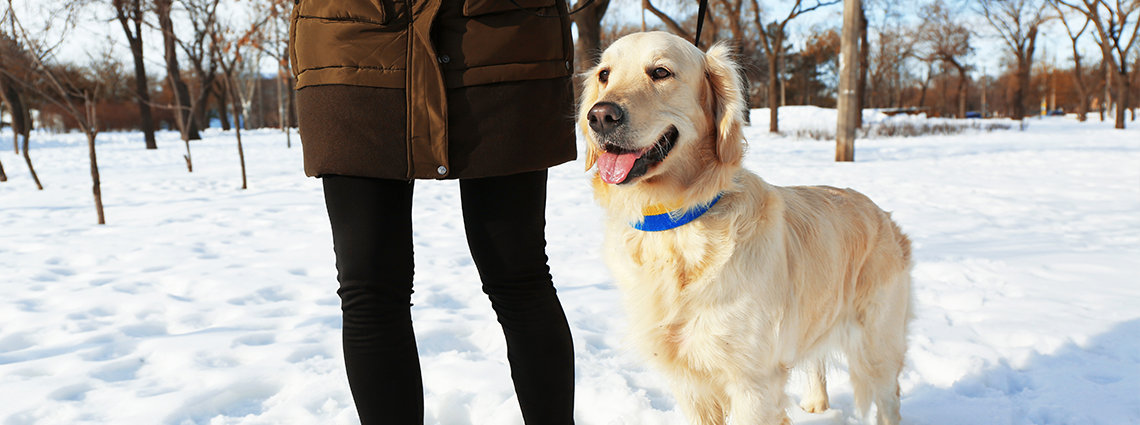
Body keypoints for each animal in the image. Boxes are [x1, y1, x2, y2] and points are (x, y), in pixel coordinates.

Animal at [579, 32, 916, 423]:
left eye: (660, 72)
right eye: (604, 74)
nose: (600, 116)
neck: (678, 219)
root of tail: (882, 213)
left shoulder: (752, 384)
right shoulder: (690, 383)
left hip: (878, 343)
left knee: (889, 397)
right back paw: (816, 403)